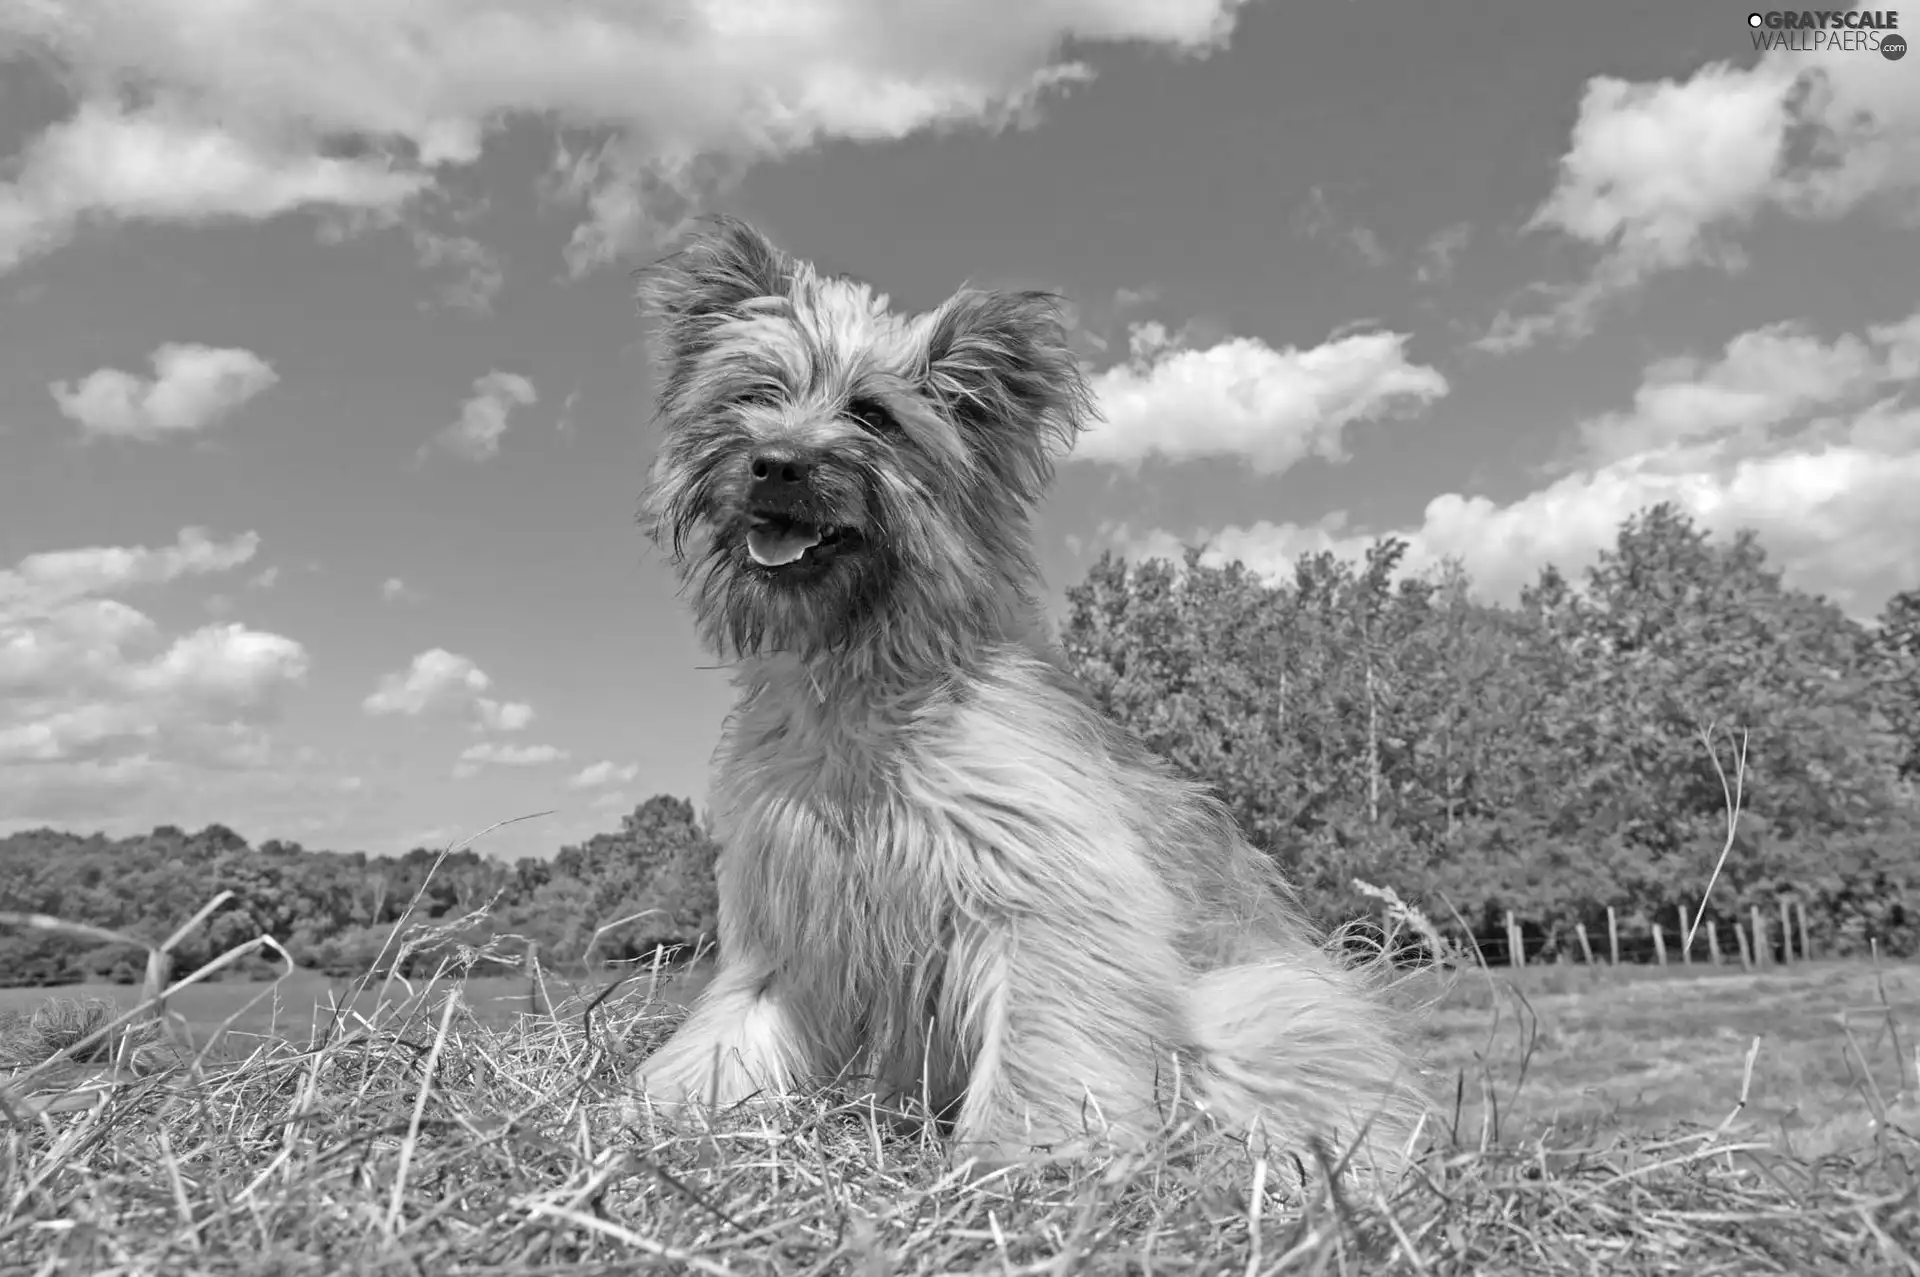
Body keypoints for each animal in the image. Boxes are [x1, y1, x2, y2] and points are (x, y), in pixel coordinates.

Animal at [629, 216, 1428, 1175]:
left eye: (874, 415)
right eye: (755, 392)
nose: (776, 464)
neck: (863, 686)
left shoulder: (1045, 902)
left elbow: (1041, 1051)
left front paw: (1024, 1162)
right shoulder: (792, 929)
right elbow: (726, 1036)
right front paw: (658, 1113)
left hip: (1260, 1003)